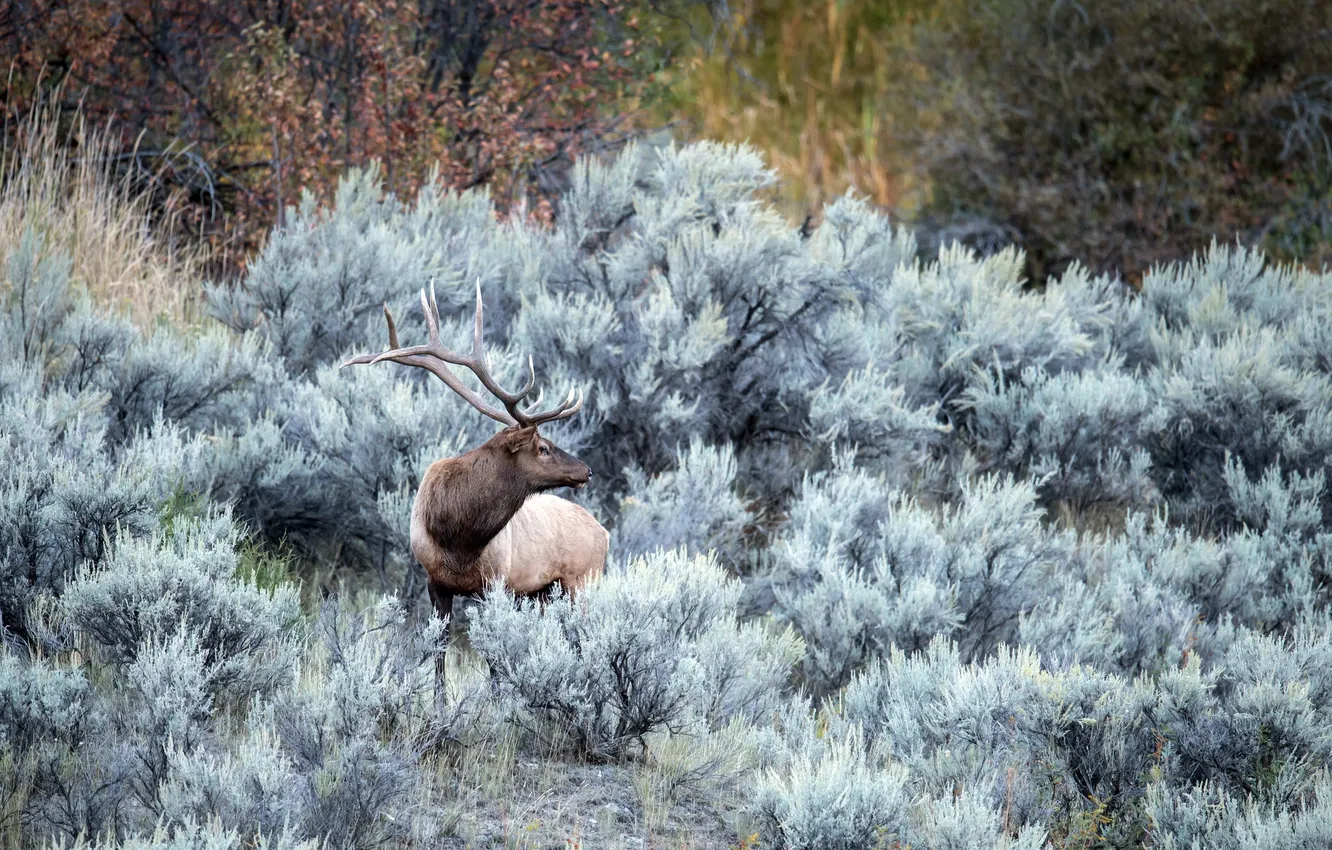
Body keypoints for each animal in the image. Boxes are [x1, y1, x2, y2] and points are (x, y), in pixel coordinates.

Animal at [342, 281, 608, 678]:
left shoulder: (494, 584)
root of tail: (605, 533)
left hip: (583, 579)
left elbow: (494, 659)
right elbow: (439, 654)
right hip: (545, 591)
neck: (458, 537)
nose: (586, 470)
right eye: (543, 447)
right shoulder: (435, 582)